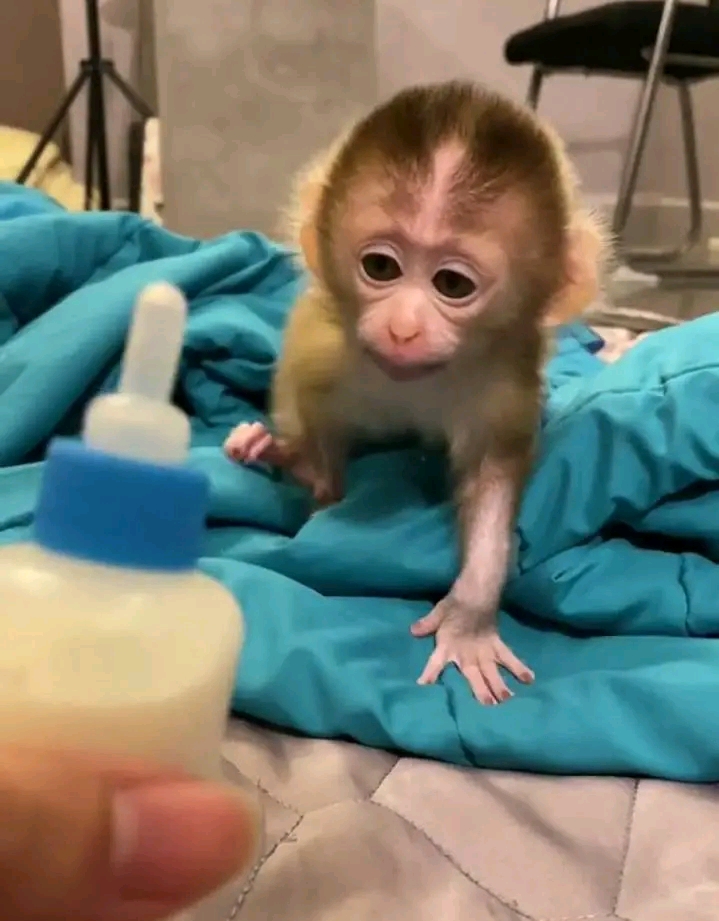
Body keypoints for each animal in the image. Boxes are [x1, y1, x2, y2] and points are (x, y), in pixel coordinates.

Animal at [224, 81, 610, 705]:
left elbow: (492, 479)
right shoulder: (326, 347)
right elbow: (312, 411)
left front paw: (469, 620)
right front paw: (313, 479)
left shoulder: (503, 382)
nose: (403, 328)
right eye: (381, 267)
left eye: (452, 283)